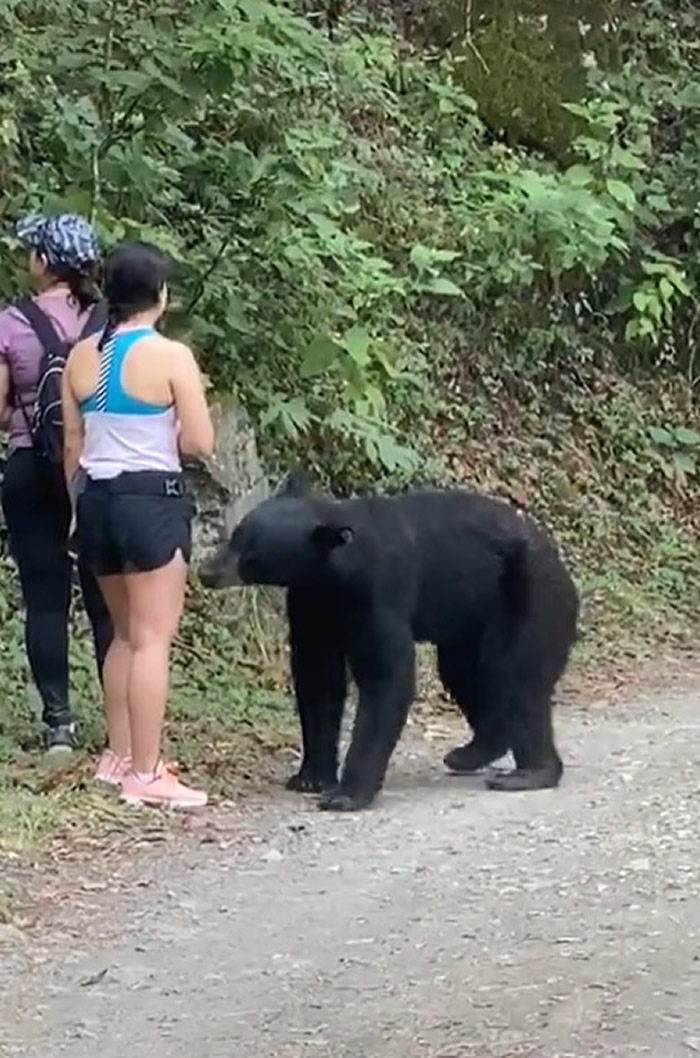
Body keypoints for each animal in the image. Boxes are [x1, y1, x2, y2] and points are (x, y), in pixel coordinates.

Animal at [198, 476, 579, 812]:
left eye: (249, 554)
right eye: (235, 536)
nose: (206, 571)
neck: (334, 572)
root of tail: (559, 563)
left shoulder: (379, 589)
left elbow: (385, 674)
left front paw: (347, 794)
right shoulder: (311, 601)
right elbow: (318, 676)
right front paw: (310, 777)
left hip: (530, 598)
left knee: (516, 677)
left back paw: (531, 772)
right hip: (469, 621)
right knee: (464, 674)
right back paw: (473, 750)